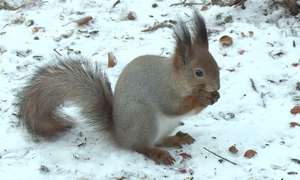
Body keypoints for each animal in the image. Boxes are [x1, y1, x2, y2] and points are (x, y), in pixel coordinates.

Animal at [17, 11, 220, 165]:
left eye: (215, 63)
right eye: (199, 72)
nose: (217, 86)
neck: (175, 79)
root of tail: (120, 136)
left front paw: (214, 96)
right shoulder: (161, 89)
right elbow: (173, 107)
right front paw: (200, 99)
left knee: (159, 140)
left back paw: (177, 138)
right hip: (144, 119)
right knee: (142, 146)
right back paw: (158, 154)